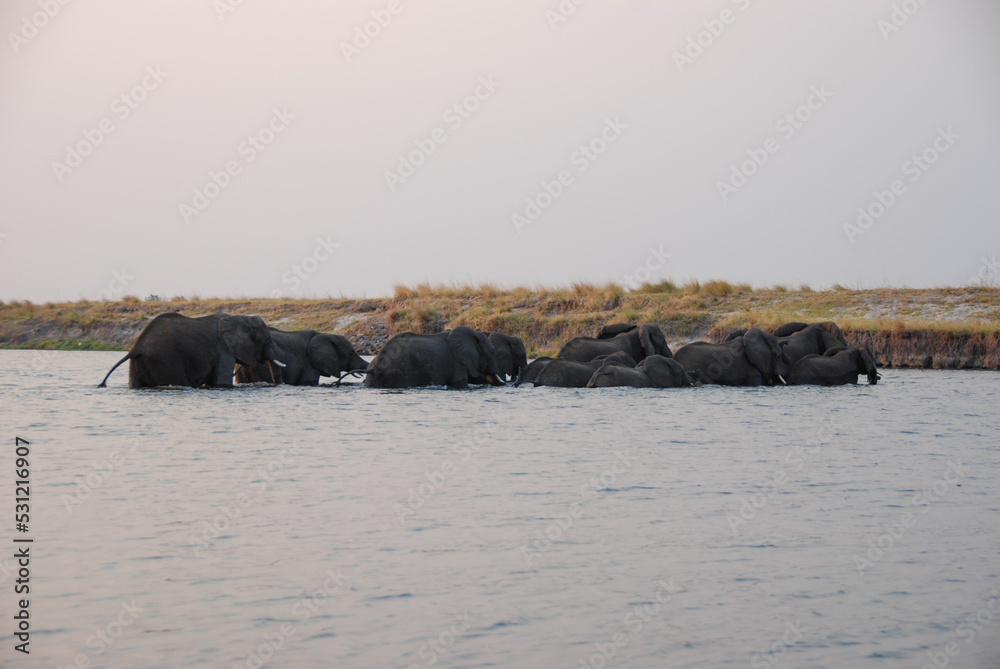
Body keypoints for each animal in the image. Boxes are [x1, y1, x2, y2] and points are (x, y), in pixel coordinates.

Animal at [98, 313, 284, 388]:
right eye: (266, 340)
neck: (239, 318)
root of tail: (136, 347)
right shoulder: (223, 349)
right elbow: (221, 381)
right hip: (167, 359)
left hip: (138, 363)